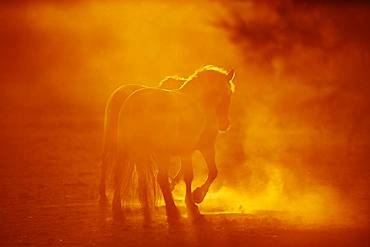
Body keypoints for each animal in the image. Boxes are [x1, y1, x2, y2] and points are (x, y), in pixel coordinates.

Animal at [111, 65, 236, 224]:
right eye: (227, 95)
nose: (224, 124)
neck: (196, 104)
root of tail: (132, 102)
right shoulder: (193, 150)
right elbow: (191, 176)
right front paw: (194, 203)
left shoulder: (200, 148)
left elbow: (211, 172)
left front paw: (195, 198)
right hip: (153, 152)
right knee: (155, 178)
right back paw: (171, 211)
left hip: (139, 151)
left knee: (130, 176)